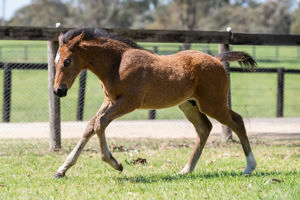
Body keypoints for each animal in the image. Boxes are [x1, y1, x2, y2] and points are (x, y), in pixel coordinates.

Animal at [52, 27, 256, 178]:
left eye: (67, 61)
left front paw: (115, 163)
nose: (58, 90)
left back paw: (249, 167)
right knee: (204, 128)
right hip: (188, 104)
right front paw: (62, 169)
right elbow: (91, 126)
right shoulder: (110, 100)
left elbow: (100, 123)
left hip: (212, 104)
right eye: (55, 62)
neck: (117, 64)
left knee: (237, 121)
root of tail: (217, 59)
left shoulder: (129, 102)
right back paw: (185, 170)